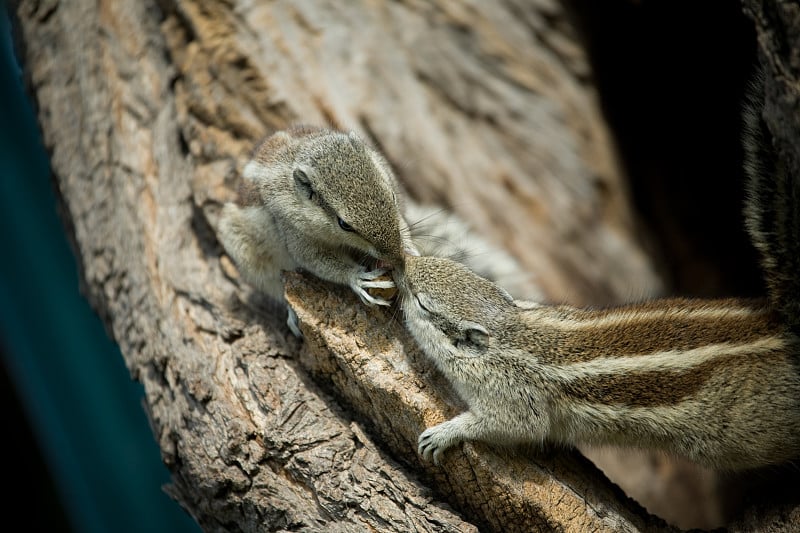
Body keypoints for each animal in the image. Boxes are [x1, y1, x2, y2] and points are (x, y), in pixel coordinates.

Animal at [217, 123, 536, 336]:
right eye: (344, 224)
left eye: (392, 196)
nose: (397, 260)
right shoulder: (295, 232)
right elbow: (317, 260)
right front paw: (357, 278)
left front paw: (408, 247)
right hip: (246, 252)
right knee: (273, 285)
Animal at [394, 70, 800, 470]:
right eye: (450, 264)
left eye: (422, 303)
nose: (405, 261)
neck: (513, 331)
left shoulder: (514, 398)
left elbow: (509, 426)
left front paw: (445, 433)